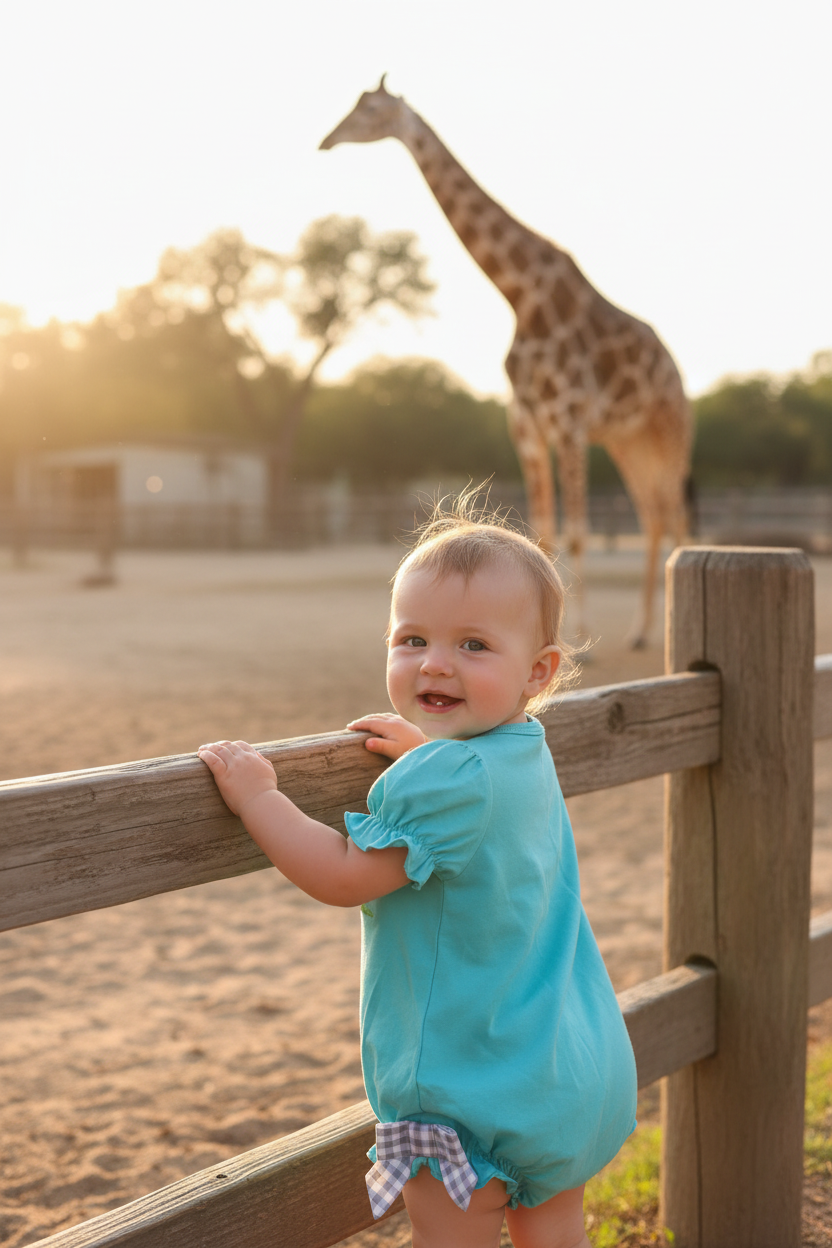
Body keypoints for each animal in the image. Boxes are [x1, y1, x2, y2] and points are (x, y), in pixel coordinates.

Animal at [320, 78, 692, 646]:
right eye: (355, 105)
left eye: (372, 110)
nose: (327, 140)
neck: (521, 294)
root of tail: (675, 370)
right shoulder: (526, 422)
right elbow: (543, 535)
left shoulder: (568, 420)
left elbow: (577, 533)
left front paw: (582, 638)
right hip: (627, 439)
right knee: (654, 516)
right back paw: (639, 631)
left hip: (667, 428)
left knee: (678, 519)